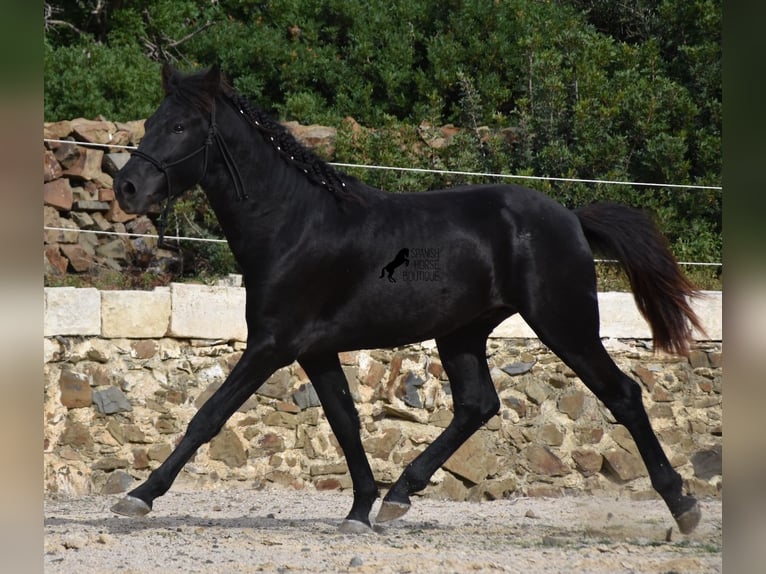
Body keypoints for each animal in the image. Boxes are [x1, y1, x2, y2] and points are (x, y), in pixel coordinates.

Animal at [111, 65, 704, 536]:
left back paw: (684, 506)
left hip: (564, 323)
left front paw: (138, 496)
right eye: (150, 122)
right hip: (462, 333)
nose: (128, 188)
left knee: (623, 395)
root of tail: (572, 220)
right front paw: (360, 510)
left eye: (180, 126)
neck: (293, 223)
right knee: (478, 405)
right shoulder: (314, 349)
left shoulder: (272, 345)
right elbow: (346, 423)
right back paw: (400, 496)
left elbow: (208, 415)